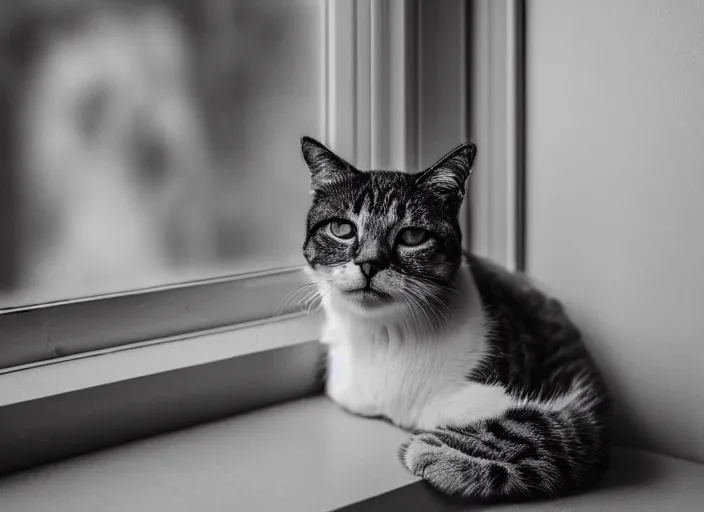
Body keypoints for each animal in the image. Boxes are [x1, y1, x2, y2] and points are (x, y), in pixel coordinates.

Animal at [298, 136, 612, 500]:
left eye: (412, 236)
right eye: (341, 228)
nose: (369, 263)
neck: (385, 336)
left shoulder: (581, 401)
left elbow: (538, 429)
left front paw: (436, 450)